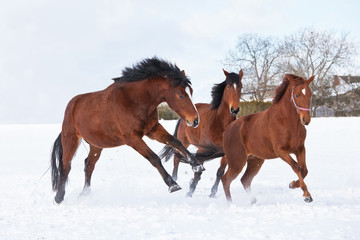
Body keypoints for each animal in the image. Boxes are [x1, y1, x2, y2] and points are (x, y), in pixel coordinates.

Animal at [50, 57, 205, 203]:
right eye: (181, 95)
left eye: (190, 92)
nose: (195, 120)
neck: (135, 101)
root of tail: (72, 104)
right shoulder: (132, 138)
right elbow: (154, 158)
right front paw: (173, 184)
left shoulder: (153, 129)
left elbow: (175, 142)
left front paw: (197, 166)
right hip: (71, 139)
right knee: (66, 165)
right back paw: (59, 197)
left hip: (96, 145)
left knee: (89, 165)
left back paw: (85, 193)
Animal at [161, 69, 243, 197]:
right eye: (229, 86)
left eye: (241, 86)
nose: (234, 109)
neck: (219, 123)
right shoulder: (202, 150)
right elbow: (198, 171)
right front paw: (190, 192)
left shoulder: (224, 153)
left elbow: (220, 172)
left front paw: (212, 193)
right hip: (184, 142)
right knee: (176, 159)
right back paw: (175, 180)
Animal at [197, 73, 316, 202]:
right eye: (297, 95)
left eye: (310, 94)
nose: (306, 119)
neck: (287, 121)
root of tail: (227, 130)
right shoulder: (281, 151)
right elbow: (296, 167)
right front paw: (307, 195)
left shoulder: (300, 148)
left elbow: (304, 170)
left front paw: (292, 184)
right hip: (237, 162)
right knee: (226, 179)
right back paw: (231, 203)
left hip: (255, 161)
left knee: (245, 179)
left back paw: (253, 201)